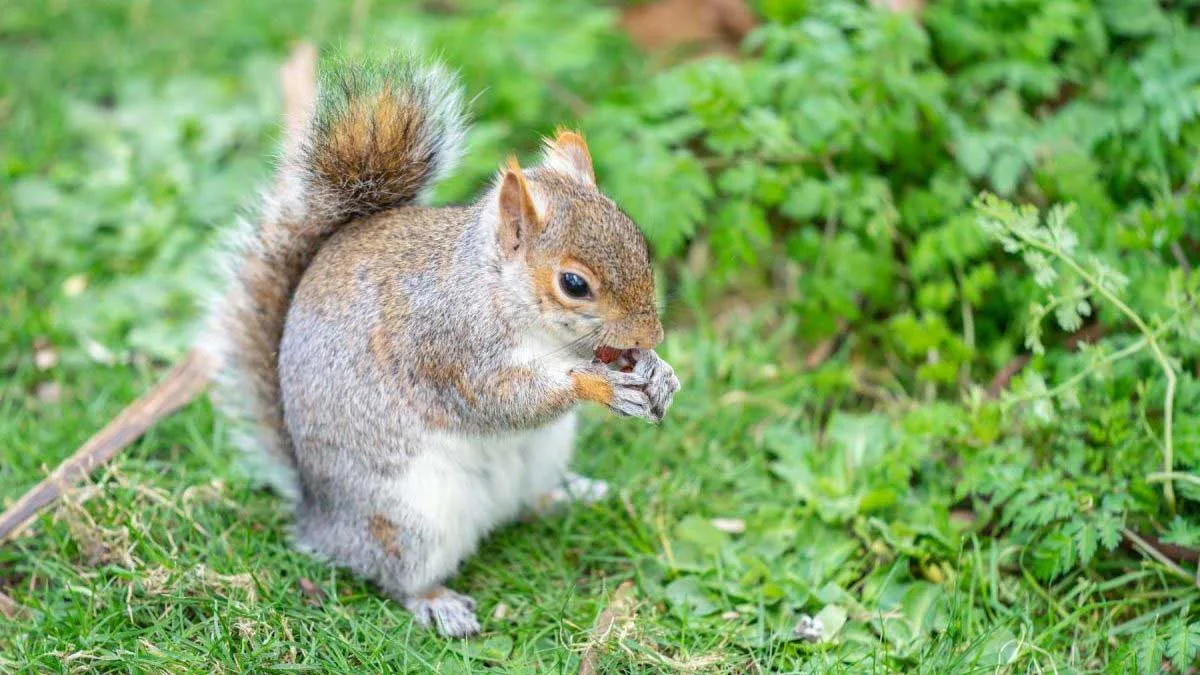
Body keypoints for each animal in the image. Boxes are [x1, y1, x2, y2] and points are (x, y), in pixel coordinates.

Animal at [195, 55, 681, 637]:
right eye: (574, 284)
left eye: (639, 241)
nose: (651, 334)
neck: (495, 288)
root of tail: (319, 515)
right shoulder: (447, 347)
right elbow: (501, 400)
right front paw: (601, 385)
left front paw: (658, 372)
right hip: (410, 519)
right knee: (396, 576)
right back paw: (436, 603)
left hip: (538, 460)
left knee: (528, 502)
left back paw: (572, 494)